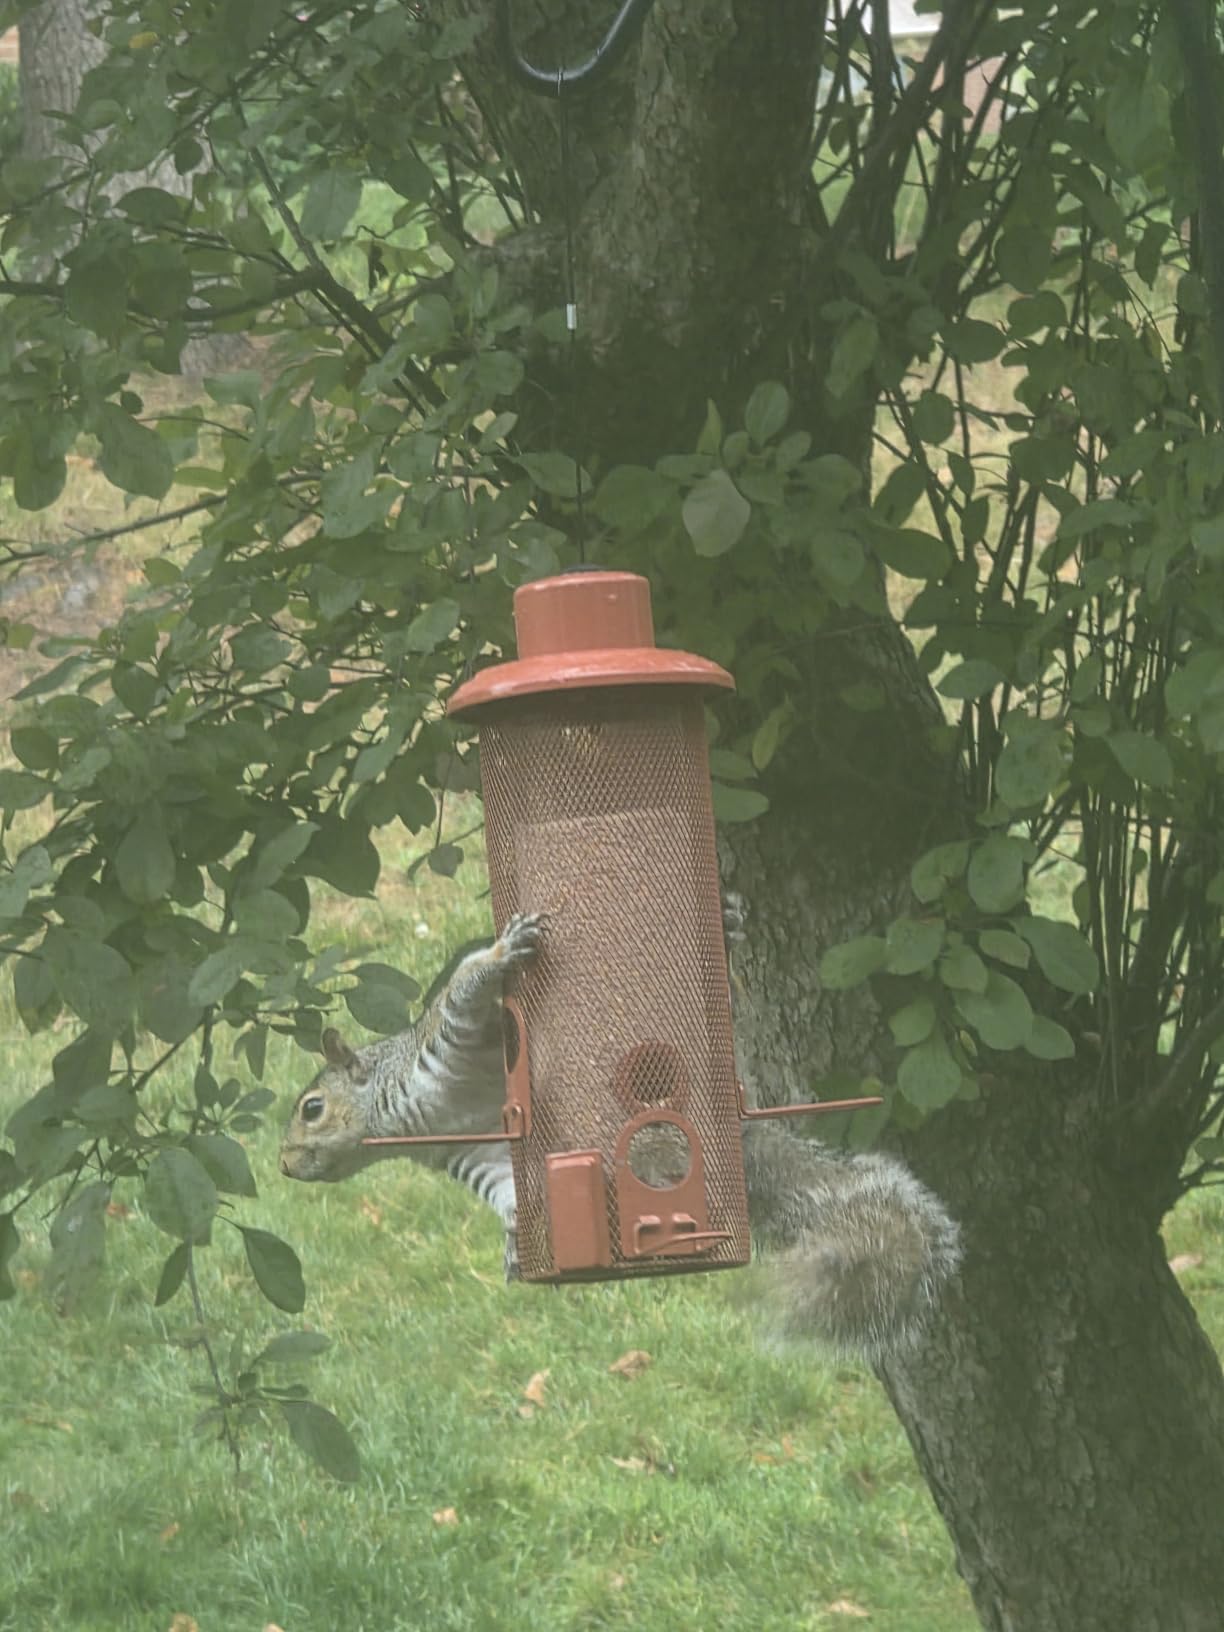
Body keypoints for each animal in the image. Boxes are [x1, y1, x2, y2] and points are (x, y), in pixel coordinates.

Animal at [279, 907, 961, 1362]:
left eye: (312, 1108)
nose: (285, 1165)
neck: (418, 1121)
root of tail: (741, 1143)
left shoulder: (449, 1045)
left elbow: (469, 988)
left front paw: (503, 951)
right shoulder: (483, 1149)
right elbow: (509, 1193)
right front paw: (516, 1243)